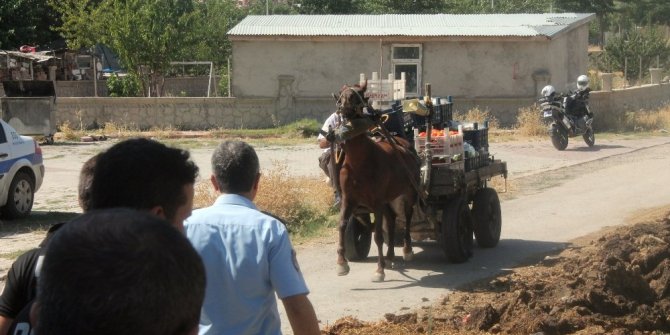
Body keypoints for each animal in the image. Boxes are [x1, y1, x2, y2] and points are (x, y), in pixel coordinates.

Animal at [332, 81, 420, 284]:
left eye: (359, 94)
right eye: (341, 94)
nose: (344, 107)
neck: (359, 162)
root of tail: (404, 143)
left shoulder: (377, 202)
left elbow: (379, 235)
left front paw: (379, 270)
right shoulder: (348, 200)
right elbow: (341, 225)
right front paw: (342, 263)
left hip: (410, 192)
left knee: (407, 217)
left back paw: (407, 250)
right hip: (388, 200)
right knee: (392, 220)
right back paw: (390, 256)